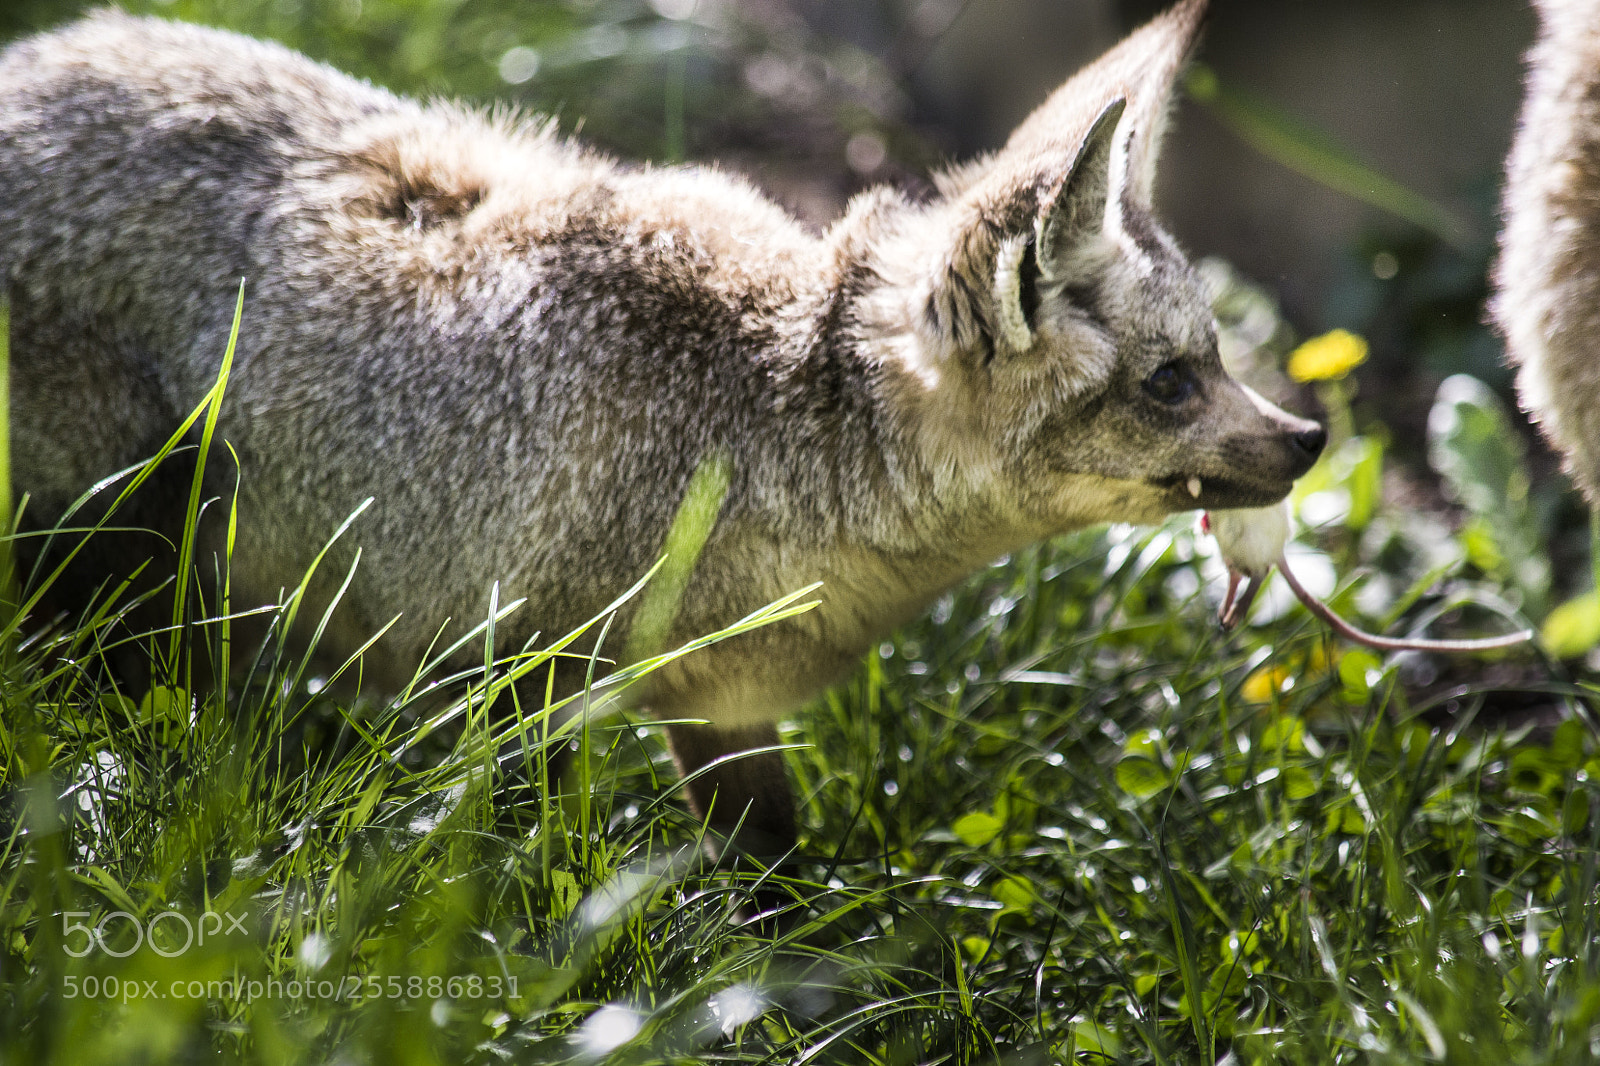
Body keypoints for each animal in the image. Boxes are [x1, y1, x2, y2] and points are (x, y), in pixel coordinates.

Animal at [0, 0, 1325, 864]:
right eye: (1169, 383)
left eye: (1217, 360)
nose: (1309, 437)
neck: (761, 417)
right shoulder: (510, 678)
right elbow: (508, 876)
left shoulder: (725, 712)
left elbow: (778, 887)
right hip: (120, 551)